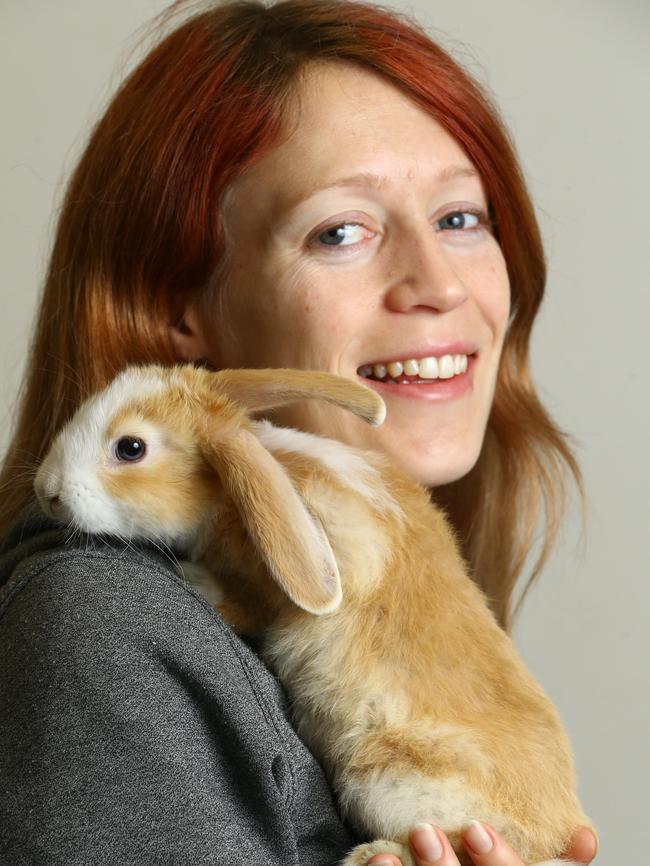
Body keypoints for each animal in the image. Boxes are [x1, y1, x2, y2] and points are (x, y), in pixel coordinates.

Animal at [34, 362, 592, 860]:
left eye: (131, 447)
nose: (47, 491)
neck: (237, 482)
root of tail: (557, 833)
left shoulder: (274, 590)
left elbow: (245, 603)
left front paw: (190, 577)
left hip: (386, 781)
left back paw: (372, 856)